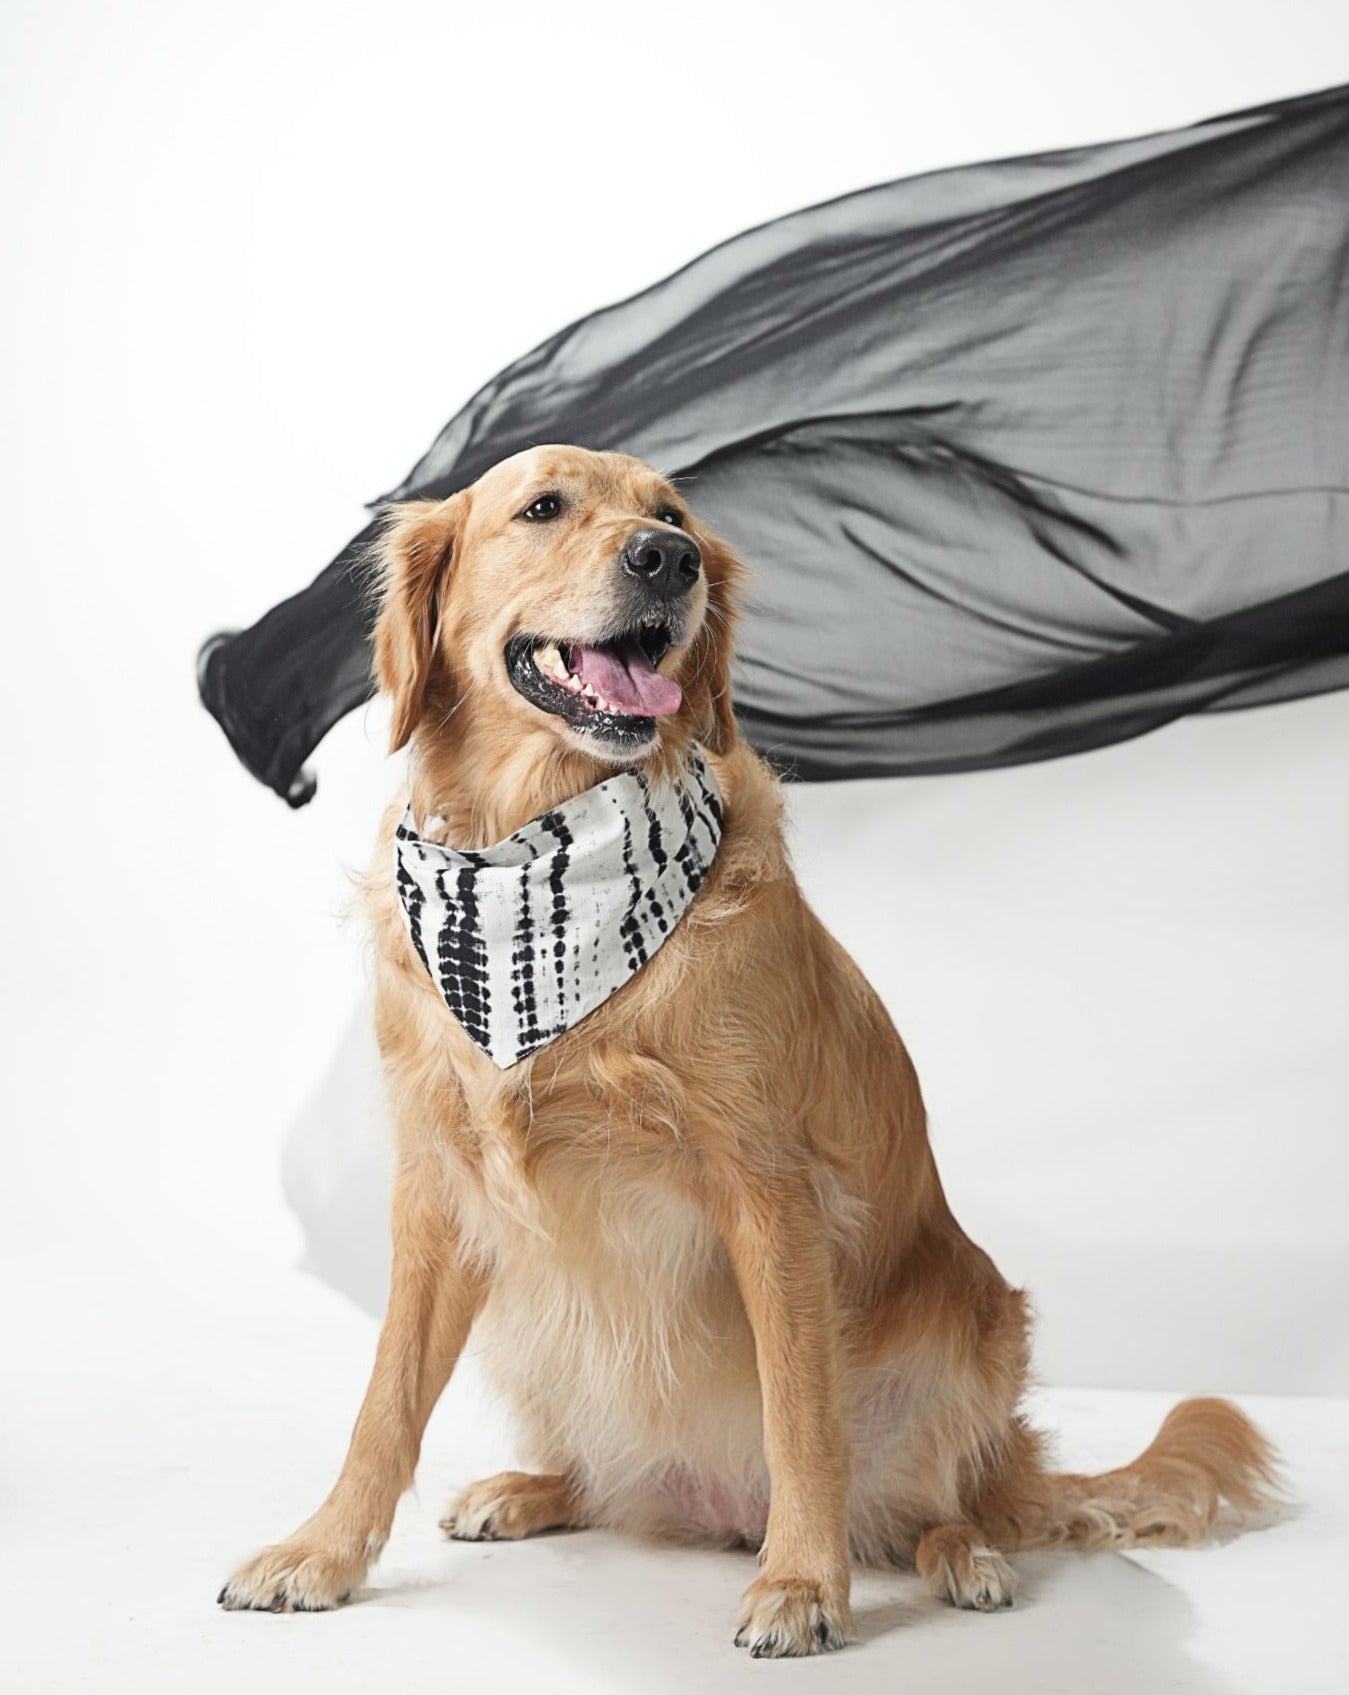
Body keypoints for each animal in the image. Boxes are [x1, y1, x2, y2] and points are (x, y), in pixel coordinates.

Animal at [218, 447, 1274, 1654]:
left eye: (673, 514)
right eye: (543, 507)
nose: (665, 560)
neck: (538, 853)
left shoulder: (769, 1190)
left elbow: (801, 1413)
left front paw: (804, 1583)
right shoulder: (439, 1183)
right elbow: (384, 1399)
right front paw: (319, 1552)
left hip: (972, 1323)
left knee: (940, 1498)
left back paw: (962, 1556)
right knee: (610, 1477)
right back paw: (530, 1488)